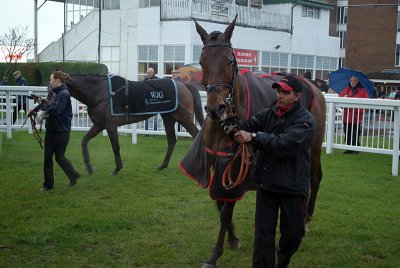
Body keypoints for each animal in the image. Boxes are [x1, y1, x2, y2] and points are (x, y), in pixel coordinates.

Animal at [66, 74, 203, 175]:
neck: (99, 92)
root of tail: (183, 85)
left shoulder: (110, 125)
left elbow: (115, 147)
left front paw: (117, 169)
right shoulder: (99, 125)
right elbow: (84, 140)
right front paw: (89, 167)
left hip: (184, 118)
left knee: (196, 135)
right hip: (169, 118)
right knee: (172, 141)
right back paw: (162, 166)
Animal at [180, 17, 326, 268]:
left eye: (230, 60)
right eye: (201, 61)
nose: (216, 108)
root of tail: (312, 84)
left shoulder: (235, 165)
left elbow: (226, 210)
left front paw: (215, 254)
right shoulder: (217, 164)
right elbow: (220, 204)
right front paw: (233, 238)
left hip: (313, 147)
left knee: (314, 178)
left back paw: (306, 220)